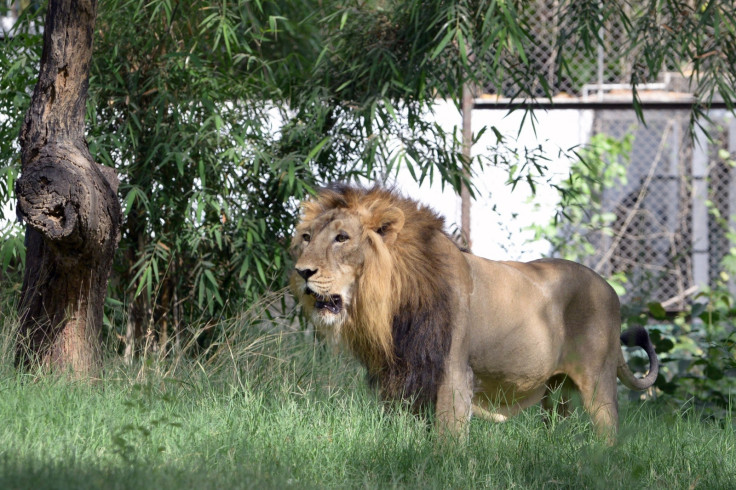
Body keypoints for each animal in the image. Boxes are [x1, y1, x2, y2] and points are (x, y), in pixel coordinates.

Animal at [290, 185, 660, 440]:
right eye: (306, 237)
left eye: (342, 238)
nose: (301, 272)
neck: (392, 302)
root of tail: (610, 288)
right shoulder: (399, 372)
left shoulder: (453, 371)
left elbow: (448, 437)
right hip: (555, 392)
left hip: (598, 380)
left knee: (609, 434)